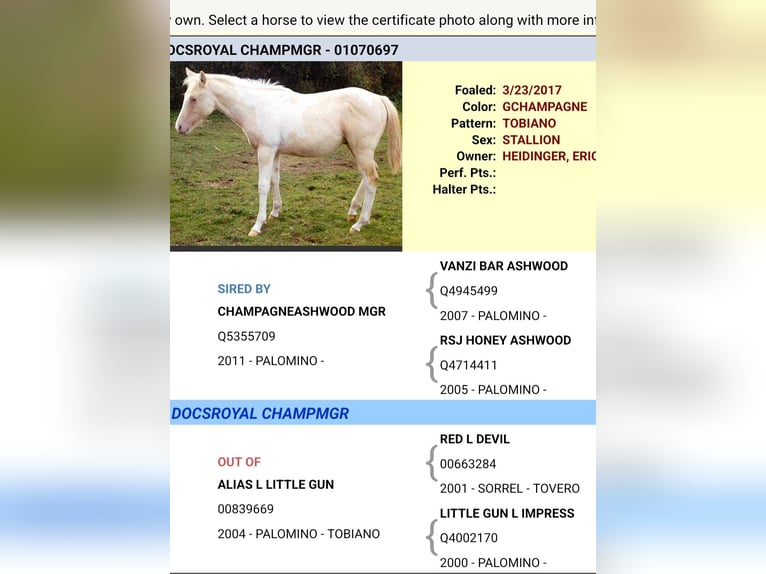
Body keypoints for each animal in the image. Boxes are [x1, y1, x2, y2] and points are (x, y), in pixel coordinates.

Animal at [175, 68, 402, 237]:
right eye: (186, 96)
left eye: (193, 98)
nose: (179, 127)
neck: (258, 106)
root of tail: (379, 98)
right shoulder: (275, 152)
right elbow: (275, 180)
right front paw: (274, 213)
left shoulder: (265, 151)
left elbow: (263, 185)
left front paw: (257, 225)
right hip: (359, 150)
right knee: (367, 177)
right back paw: (352, 212)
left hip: (362, 150)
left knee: (371, 179)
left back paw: (359, 223)